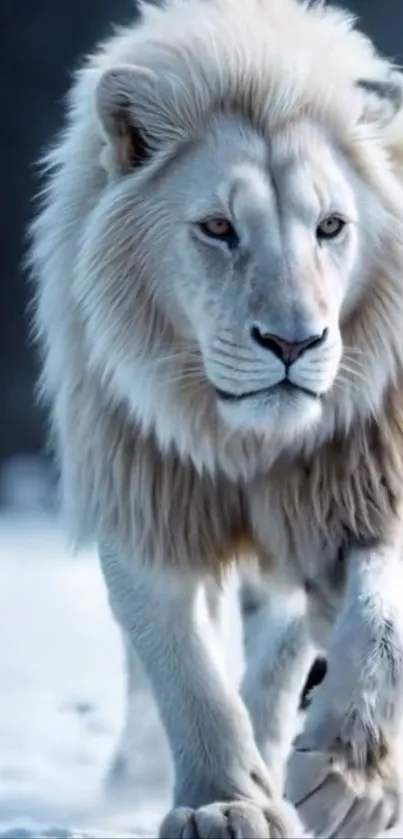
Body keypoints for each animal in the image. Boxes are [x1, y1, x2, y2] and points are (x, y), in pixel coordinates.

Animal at [29, 0, 403, 836]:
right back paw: (135, 778)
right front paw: (223, 801)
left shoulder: (352, 486)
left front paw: (347, 781)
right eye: (218, 228)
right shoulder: (148, 496)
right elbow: (182, 668)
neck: (244, 444)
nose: (293, 342)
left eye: (331, 227)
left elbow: (375, 617)